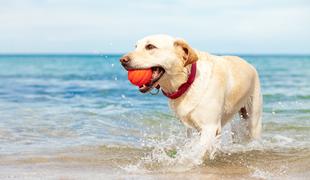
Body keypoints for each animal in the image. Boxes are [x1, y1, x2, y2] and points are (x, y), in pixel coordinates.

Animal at [120, 34, 260, 155]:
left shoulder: (210, 127)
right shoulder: (190, 127)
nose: (122, 60)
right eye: (136, 46)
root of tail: (249, 64)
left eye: (150, 46)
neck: (186, 82)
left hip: (253, 119)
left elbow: (197, 152)